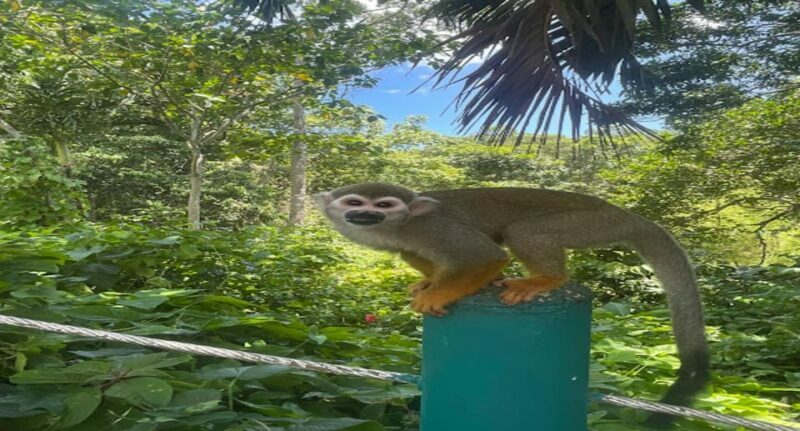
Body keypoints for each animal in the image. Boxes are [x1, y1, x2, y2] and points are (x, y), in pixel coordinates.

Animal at [314, 182, 709, 428]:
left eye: (384, 205)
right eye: (354, 203)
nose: (366, 215)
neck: (398, 226)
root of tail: (626, 214)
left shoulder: (432, 228)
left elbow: (484, 255)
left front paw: (437, 293)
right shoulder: (409, 240)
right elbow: (412, 254)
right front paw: (432, 281)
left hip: (592, 224)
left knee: (524, 231)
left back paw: (547, 279)